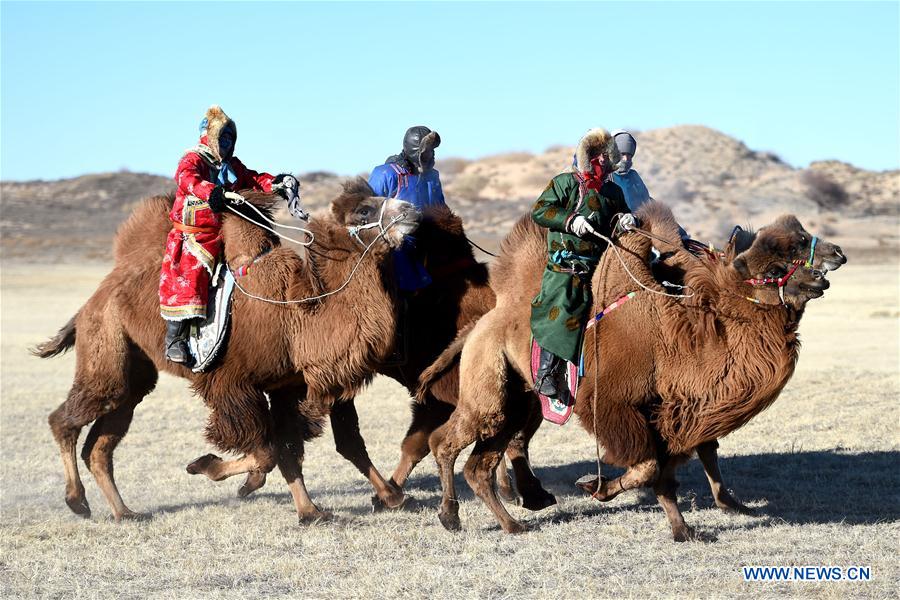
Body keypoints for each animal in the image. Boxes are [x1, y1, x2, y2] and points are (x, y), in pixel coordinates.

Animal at [37, 178, 424, 520]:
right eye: (363, 209)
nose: (412, 210)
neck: (298, 313)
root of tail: (94, 299)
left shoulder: (286, 386)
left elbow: (288, 448)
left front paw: (312, 512)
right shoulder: (231, 383)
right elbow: (268, 451)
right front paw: (207, 466)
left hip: (135, 374)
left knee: (101, 444)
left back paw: (124, 512)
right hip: (106, 347)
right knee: (66, 419)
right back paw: (77, 501)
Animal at [424, 204, 844, 540]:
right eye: (777, 264)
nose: (832, 259)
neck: (683, 335)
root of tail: (481, 324)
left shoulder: (673, 414)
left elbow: (669, 473)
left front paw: (686, 529)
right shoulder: (616, 405)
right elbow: (647, 467)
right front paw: (595, 486)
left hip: (518, 402)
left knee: (481, 464)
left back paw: (512, 523)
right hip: (491, 391)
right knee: (445, 441)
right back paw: (452, 516)